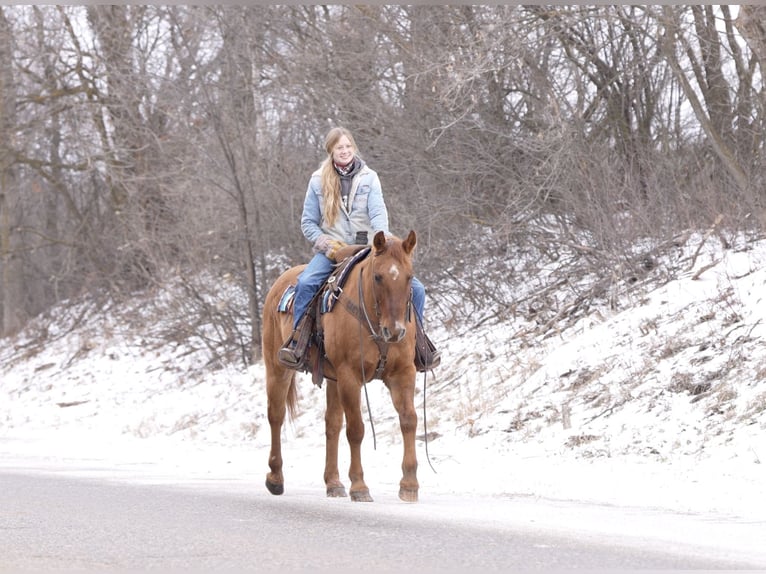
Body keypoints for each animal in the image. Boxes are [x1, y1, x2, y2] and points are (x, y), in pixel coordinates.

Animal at [262, 232, 420, 502]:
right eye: (378, 277)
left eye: (409, 276)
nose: (395, 331)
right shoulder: (350, 376)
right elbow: (356, 429)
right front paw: (359, 486)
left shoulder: (402, 373)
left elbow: (409, 419)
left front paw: (409, 485)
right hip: (277, 368)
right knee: (276, 416)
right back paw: (275, 478)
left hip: (332, 379)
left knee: (332, 424)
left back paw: (333, 483)